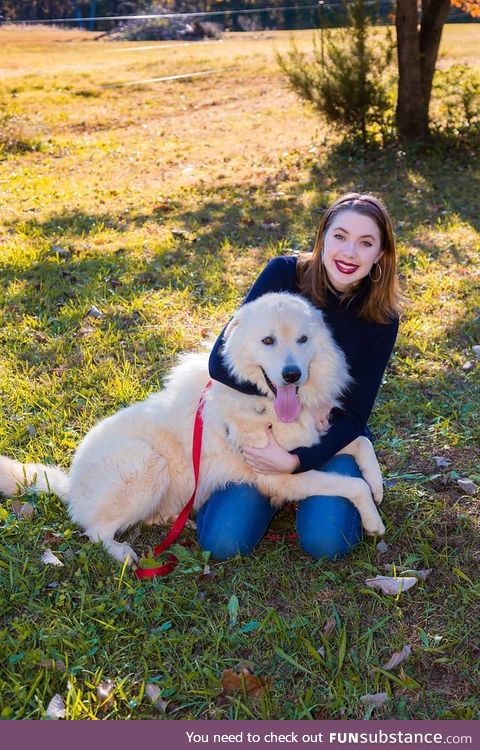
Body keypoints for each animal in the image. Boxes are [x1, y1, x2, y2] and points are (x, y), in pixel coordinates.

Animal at [0, 294, 382, 564]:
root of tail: (72, 483)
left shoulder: (308, 444)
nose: (292, 375)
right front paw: (374, 520)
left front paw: (378, 485)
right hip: (147, 464)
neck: (262, 403)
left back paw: (172, 518)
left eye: (303, 339)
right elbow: (352, 485)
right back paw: (124, 554)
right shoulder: (280, 477)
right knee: (94, 530)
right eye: (268, 341)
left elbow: (360, 443)